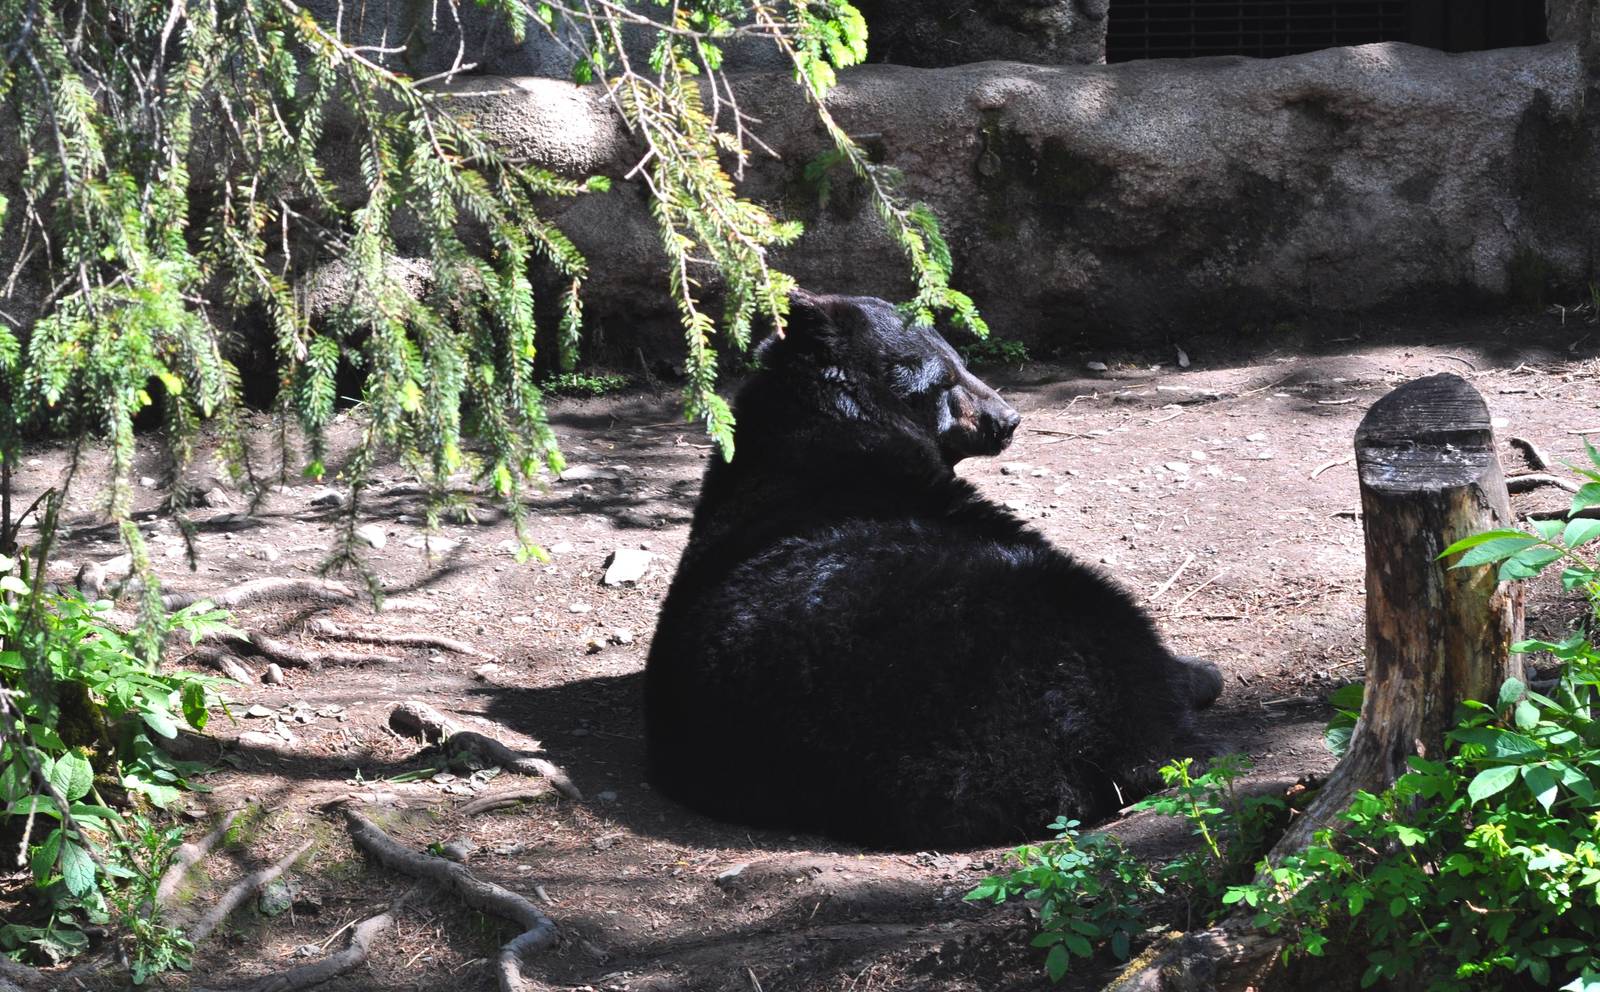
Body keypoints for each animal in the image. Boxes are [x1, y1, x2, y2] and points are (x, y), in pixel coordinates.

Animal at [644, 291, 1221, 849]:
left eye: (962, 361)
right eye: (942, 380)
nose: (1007, 419)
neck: (835, 424)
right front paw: (1199, 669)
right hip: (1051, 621)